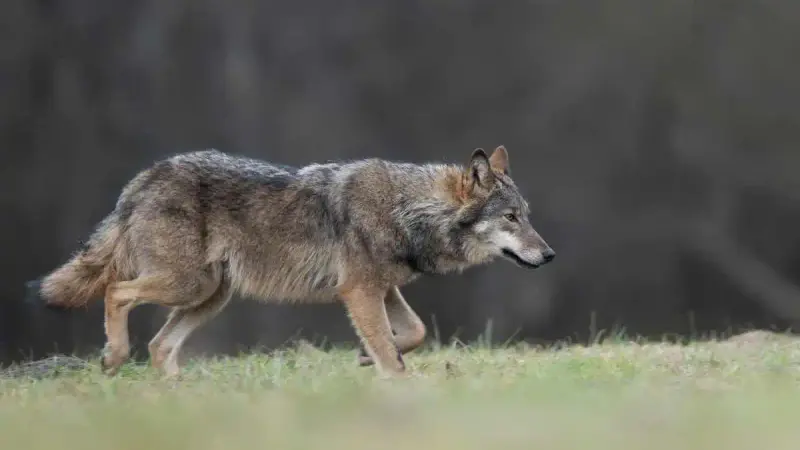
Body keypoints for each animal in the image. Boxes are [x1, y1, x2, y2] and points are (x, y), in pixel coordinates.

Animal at [28, 145, 554, 378]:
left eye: (527, 215)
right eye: (511, 218)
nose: (549, 255)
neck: (408, 209)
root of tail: (143, 178)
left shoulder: (381, 289)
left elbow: (413, 332)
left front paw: (366, 356)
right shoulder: (359, 290)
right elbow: (393, 350)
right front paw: (393, 375)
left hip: (209, 297)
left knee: (160, 345)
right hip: (187, 285)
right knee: (115, 292)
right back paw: (115, 357)